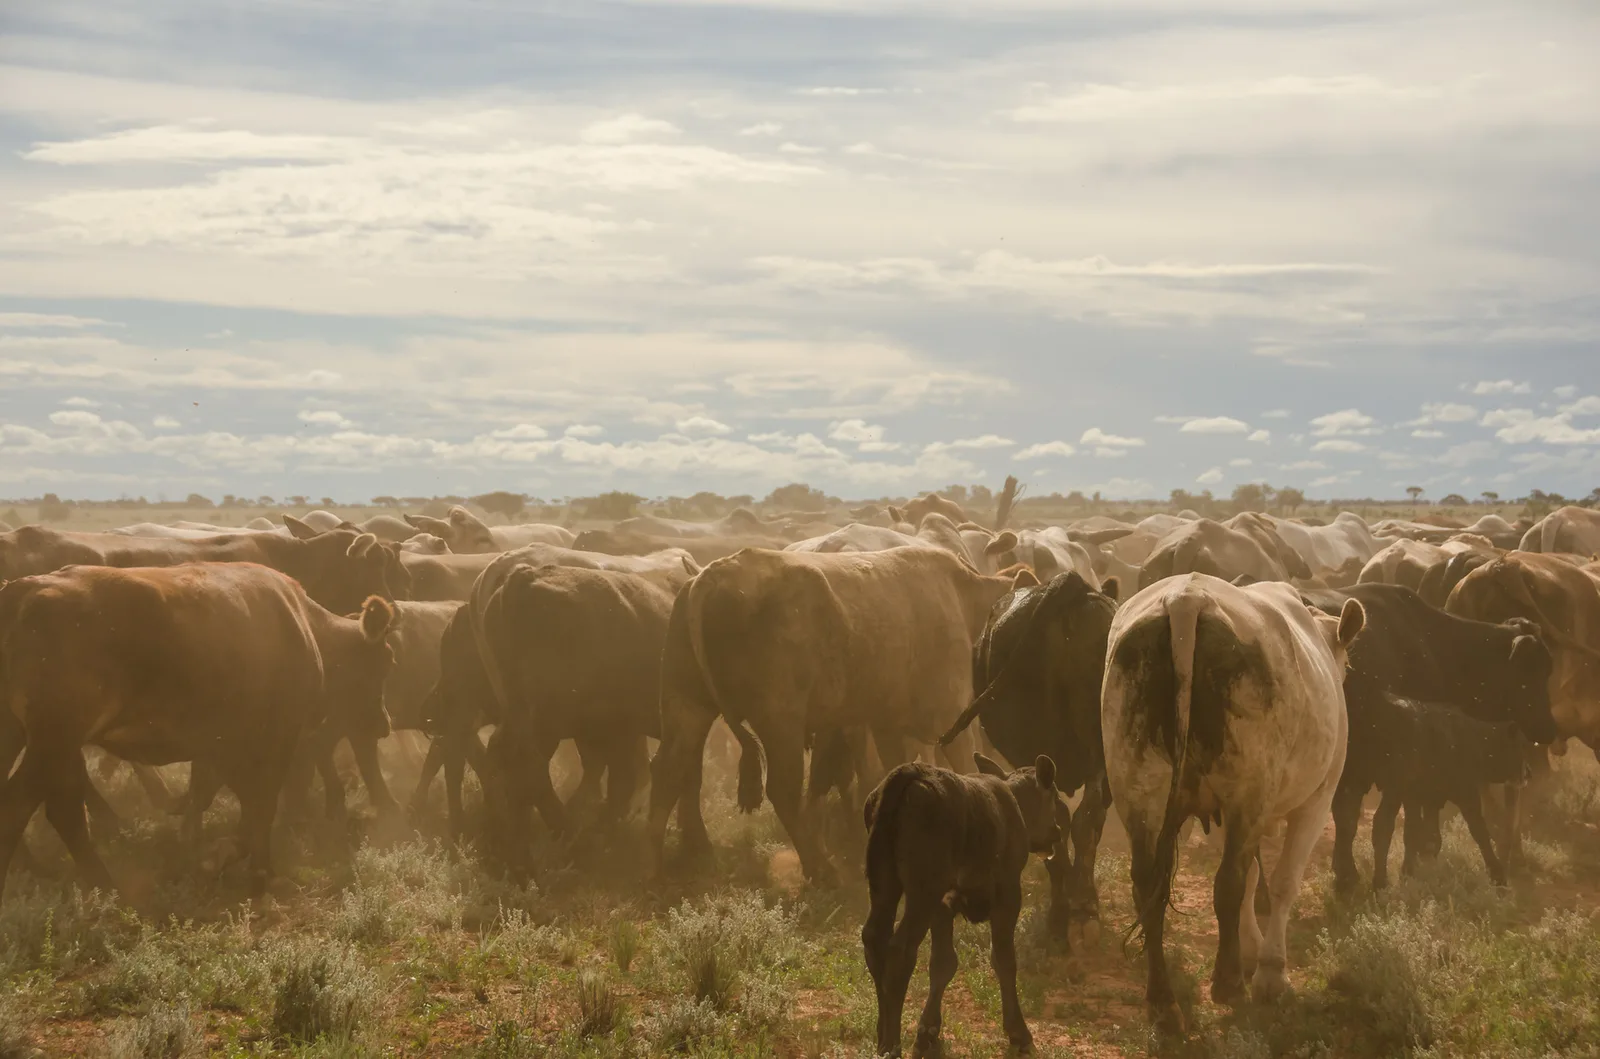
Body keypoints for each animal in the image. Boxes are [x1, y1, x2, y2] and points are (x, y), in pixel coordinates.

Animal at [0, 564, 395, 901]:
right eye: (386, 660)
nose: (384, 723)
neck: (305, 625)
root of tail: (22, 590)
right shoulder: (274, 737)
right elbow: (261, 804)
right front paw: (253, 868)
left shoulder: (221, 744)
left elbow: (227, 798)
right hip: (54, 738)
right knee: (28, 804)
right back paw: (102, 885)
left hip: (27, 737)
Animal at [647, 547, 1031, 884]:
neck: (965, 598)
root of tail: (710, 577)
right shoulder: (950, 717)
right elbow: (967, 770)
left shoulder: (885, 723)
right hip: (780, 722)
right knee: (784, 791)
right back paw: (821, 869)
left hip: (687, 707)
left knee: (669, 772)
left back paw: (652, 867)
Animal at [861, 754, 1061, 1059]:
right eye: (1054, 797)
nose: (1057, 833)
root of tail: (912, 771)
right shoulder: (1007, 895)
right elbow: (1004, 960)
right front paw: (1019, 1033)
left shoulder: (943, 906)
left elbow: (943, 963)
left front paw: (928, 1032)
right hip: (922, 891)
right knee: (900, 950)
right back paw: (891, 1045)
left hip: (884, 884)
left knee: (875, 940)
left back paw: (881, 1036)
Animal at [936, 571, 1117, 947]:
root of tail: (1071, 586)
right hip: (1093, 746)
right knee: (1080, 820)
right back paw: (1079, 911)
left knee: (1060, 821)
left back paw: (1065, 915)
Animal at [1104, 573, 1364, 1032]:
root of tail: (1186, 599)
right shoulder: (1316, 800)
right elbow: (1280, 882)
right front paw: (1270, 972)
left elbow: (1253, 881)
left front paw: (1250, 950)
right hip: (1248, 791)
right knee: (1228, 882)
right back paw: (1227, 985)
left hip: (1137, 792)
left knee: (1149, 887)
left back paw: (1163, 1002)